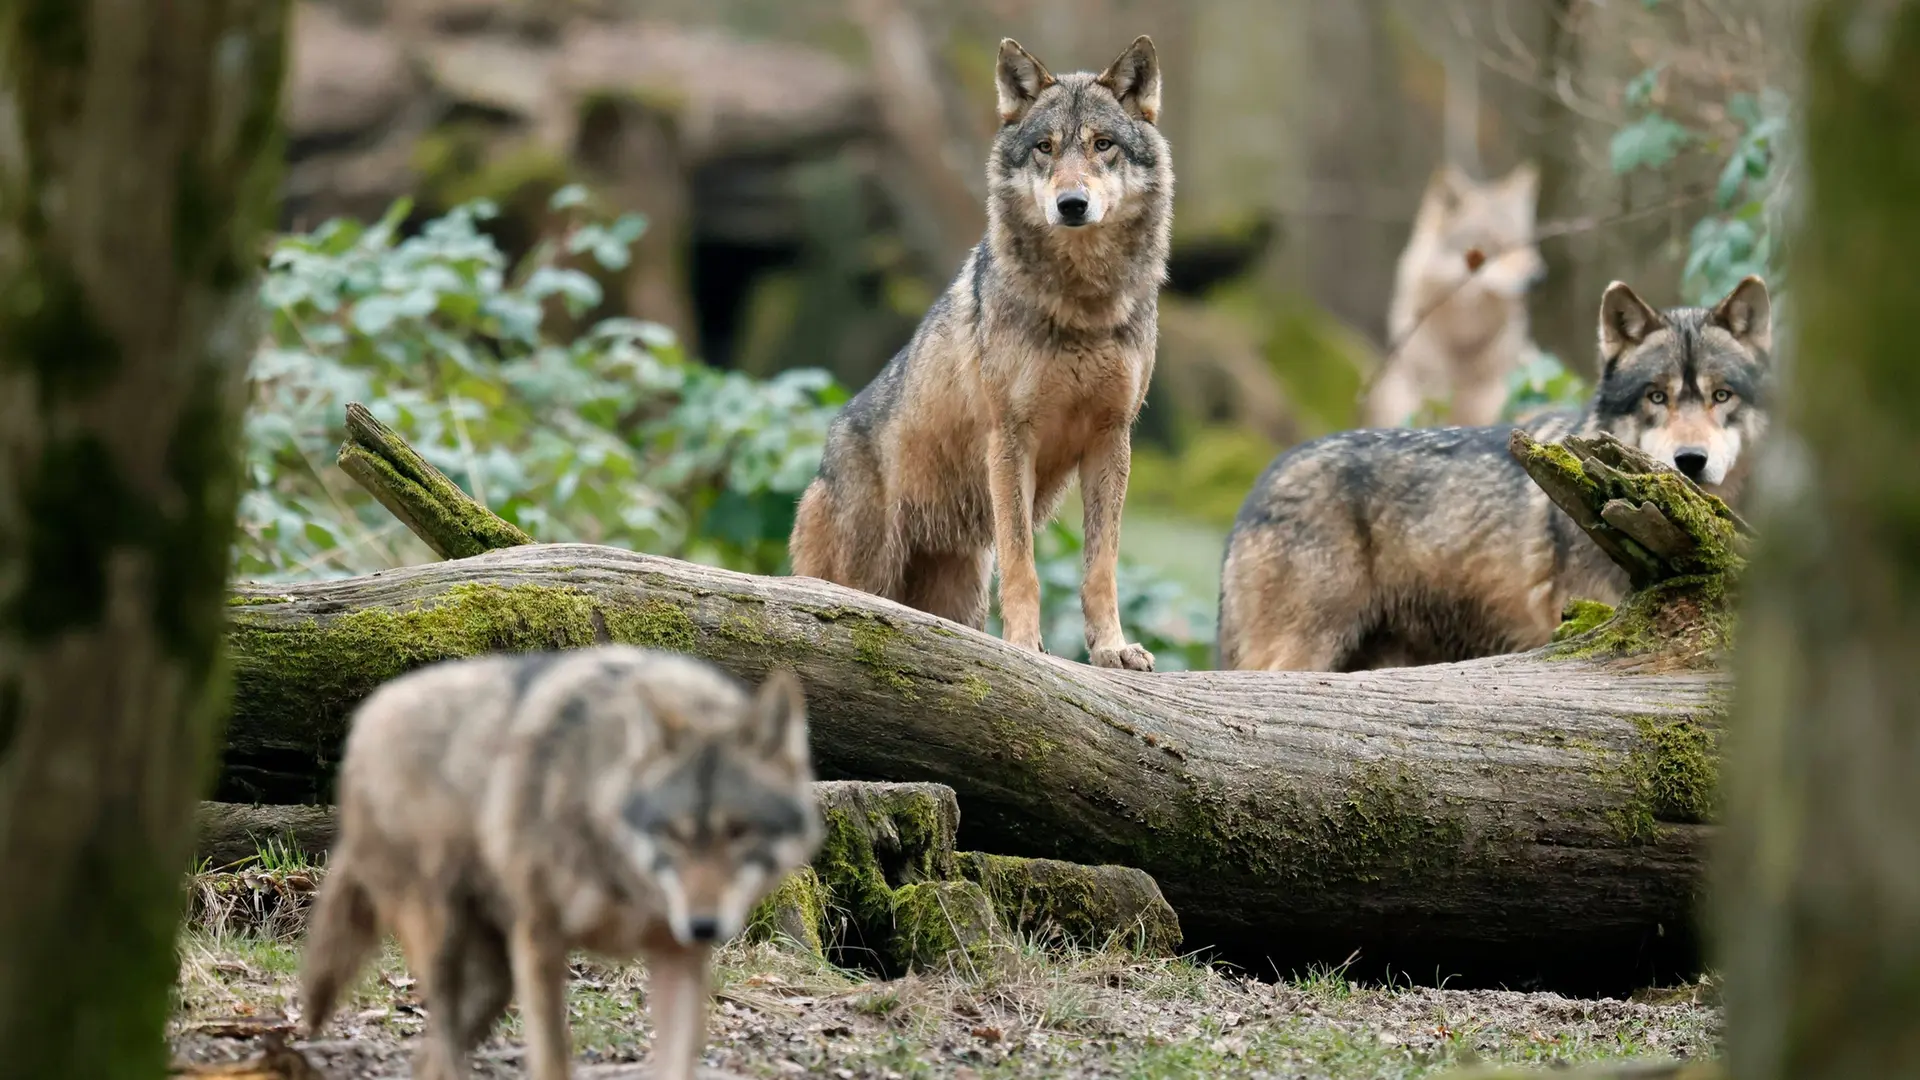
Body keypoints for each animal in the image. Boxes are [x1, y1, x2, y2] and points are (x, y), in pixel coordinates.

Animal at [297, 647, 822, 1080]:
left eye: (739, 832)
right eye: (672, 833)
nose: (703, 925)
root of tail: (372, 709)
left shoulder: (678, 958)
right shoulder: (540, 940)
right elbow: (552, 1061)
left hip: (493, 982)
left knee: (429, 1056)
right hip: (441, 938)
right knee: (440, 1044)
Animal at [787, 35, 1173, 671]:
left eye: (1103, 145)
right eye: (1045, 148)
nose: (1071, 204)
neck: (1083, 308)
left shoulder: (1111, 439)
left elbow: (1101, 567)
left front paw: (1112, 649)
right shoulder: (1011, 437)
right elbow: (1024, 567)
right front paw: (1022, 646)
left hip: (959, 590)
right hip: (864, 575)